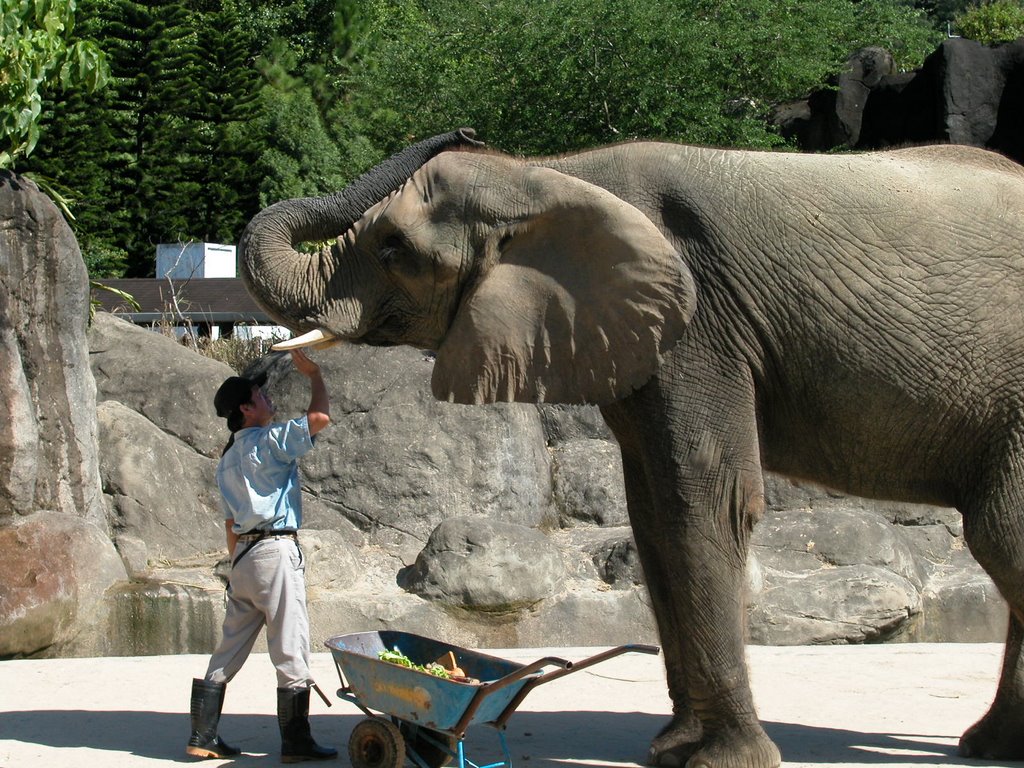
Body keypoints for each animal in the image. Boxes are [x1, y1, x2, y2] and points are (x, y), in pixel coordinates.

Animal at [235, 132, 1024, 768]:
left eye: (393, 250)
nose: (464, 129)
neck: (553, 175)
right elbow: (653, 514)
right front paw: (674, 748)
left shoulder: (703, 323)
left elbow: (702, 503)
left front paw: (720, 761)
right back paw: (989, 745)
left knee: (1001, 537)